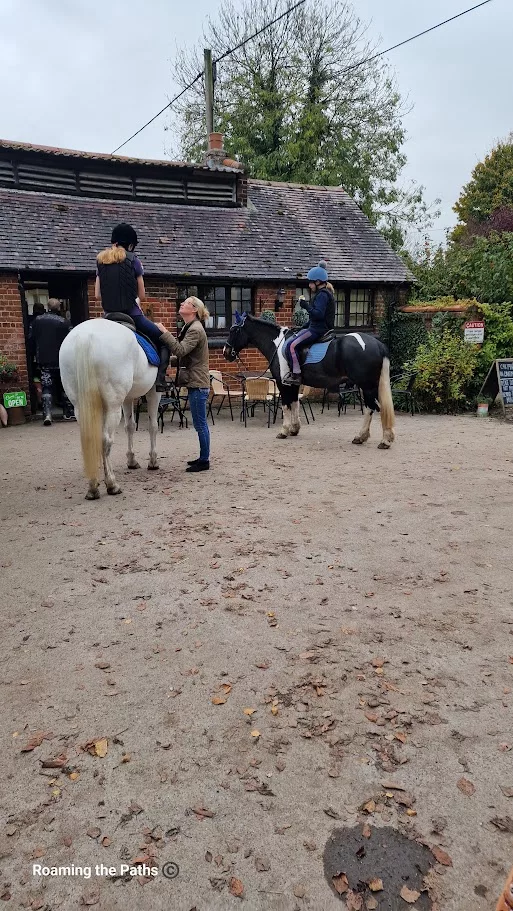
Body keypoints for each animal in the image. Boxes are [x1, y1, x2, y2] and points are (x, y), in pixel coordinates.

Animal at [59, 318, 161, 500]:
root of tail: (84, 336)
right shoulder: (154, 392)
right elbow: (153, 426)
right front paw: (153, 461)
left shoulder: (127, 398)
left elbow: (130, 427)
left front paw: (132, 461)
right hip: (113, 406)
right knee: (105, 441)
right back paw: (112, 484)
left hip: (81, 406)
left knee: (91, 438)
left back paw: (93, 486)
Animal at [223, 312, 395, 448]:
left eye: (233, 330)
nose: (226, 352)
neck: (278, 345)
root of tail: (378, 344)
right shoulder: (293, 384)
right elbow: (294, 403)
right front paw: (294, 429)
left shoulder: (282, 383)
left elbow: (285, 405)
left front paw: (284, 430)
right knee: (374, 408)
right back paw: (372, 438)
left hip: (367, 386)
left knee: (373, 408)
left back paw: (376, 439)